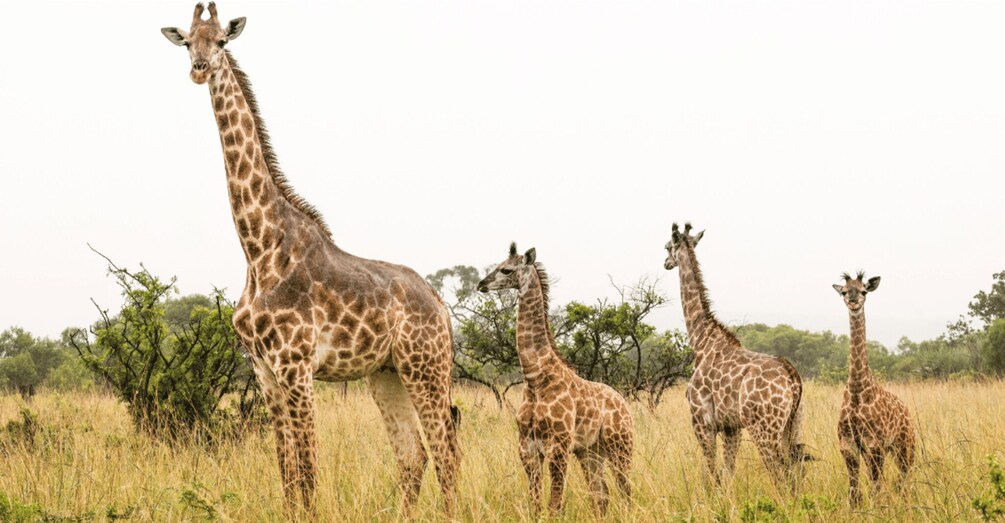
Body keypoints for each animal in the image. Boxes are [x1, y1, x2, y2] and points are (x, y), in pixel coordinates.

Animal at [160, 3, 459, 514]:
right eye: (187, 42)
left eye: (221, 41)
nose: (199, 69)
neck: (259, 250)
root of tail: (441, 306)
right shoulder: (264, 371)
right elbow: (287, 473)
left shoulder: (296, 367)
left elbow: (307, 472)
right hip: (386, 374)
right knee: (413, 455)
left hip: (426, 367)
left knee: (446, 453)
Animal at [477, 243, 634, 515]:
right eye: (497, 265)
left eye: (506, 270)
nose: (481, 284)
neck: (535, 377)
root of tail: (624, 403)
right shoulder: (527, 447)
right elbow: (537, 502)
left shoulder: (558, 446)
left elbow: (555, 504)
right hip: (591, 451)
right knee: (601, 494)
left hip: (620, 446)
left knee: (626, 491)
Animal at [663, 223, 810, 487]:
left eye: (667, 246)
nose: (665, 263)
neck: (701, 339)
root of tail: (793, 378)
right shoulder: (732, 427)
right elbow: (727, 473)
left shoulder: (702, 422)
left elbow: (711, 473)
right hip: (793, 425)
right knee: (795, 472)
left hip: (765, 428)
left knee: (779, 473)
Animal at [833, 271, 915, 506]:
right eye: (844, 291)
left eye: (864, 291)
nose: (853, 302)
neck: (857, 390)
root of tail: (906, 410)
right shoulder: (848, 445)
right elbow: (854, 491)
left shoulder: (874, 444)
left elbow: (875, 488)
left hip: (905, 445)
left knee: (905, 478)